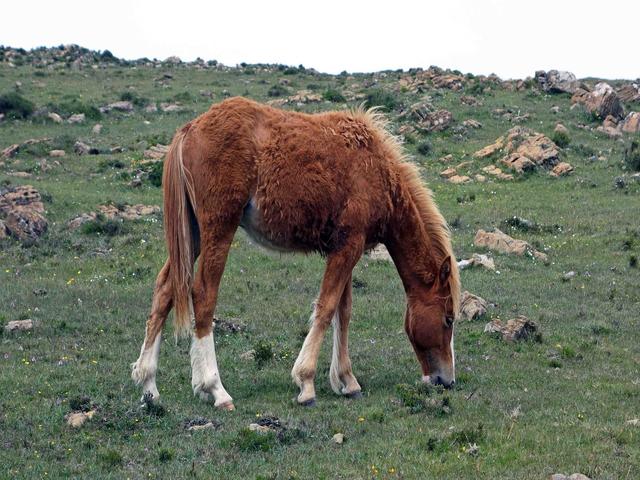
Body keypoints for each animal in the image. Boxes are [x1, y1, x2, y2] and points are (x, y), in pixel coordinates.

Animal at [131, 97, 460, 409]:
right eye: (448, 319)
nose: (447, 380)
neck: (376, 170)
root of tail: (189, 129)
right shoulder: (349, 246)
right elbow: (327, 308)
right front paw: (306, 383)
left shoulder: (344, 248)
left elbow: (343, 312)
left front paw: (347, 381)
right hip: (218, 228)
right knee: (203, 294)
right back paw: (215, 389)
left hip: (193, 232)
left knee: (165, 289)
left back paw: (149, 386)